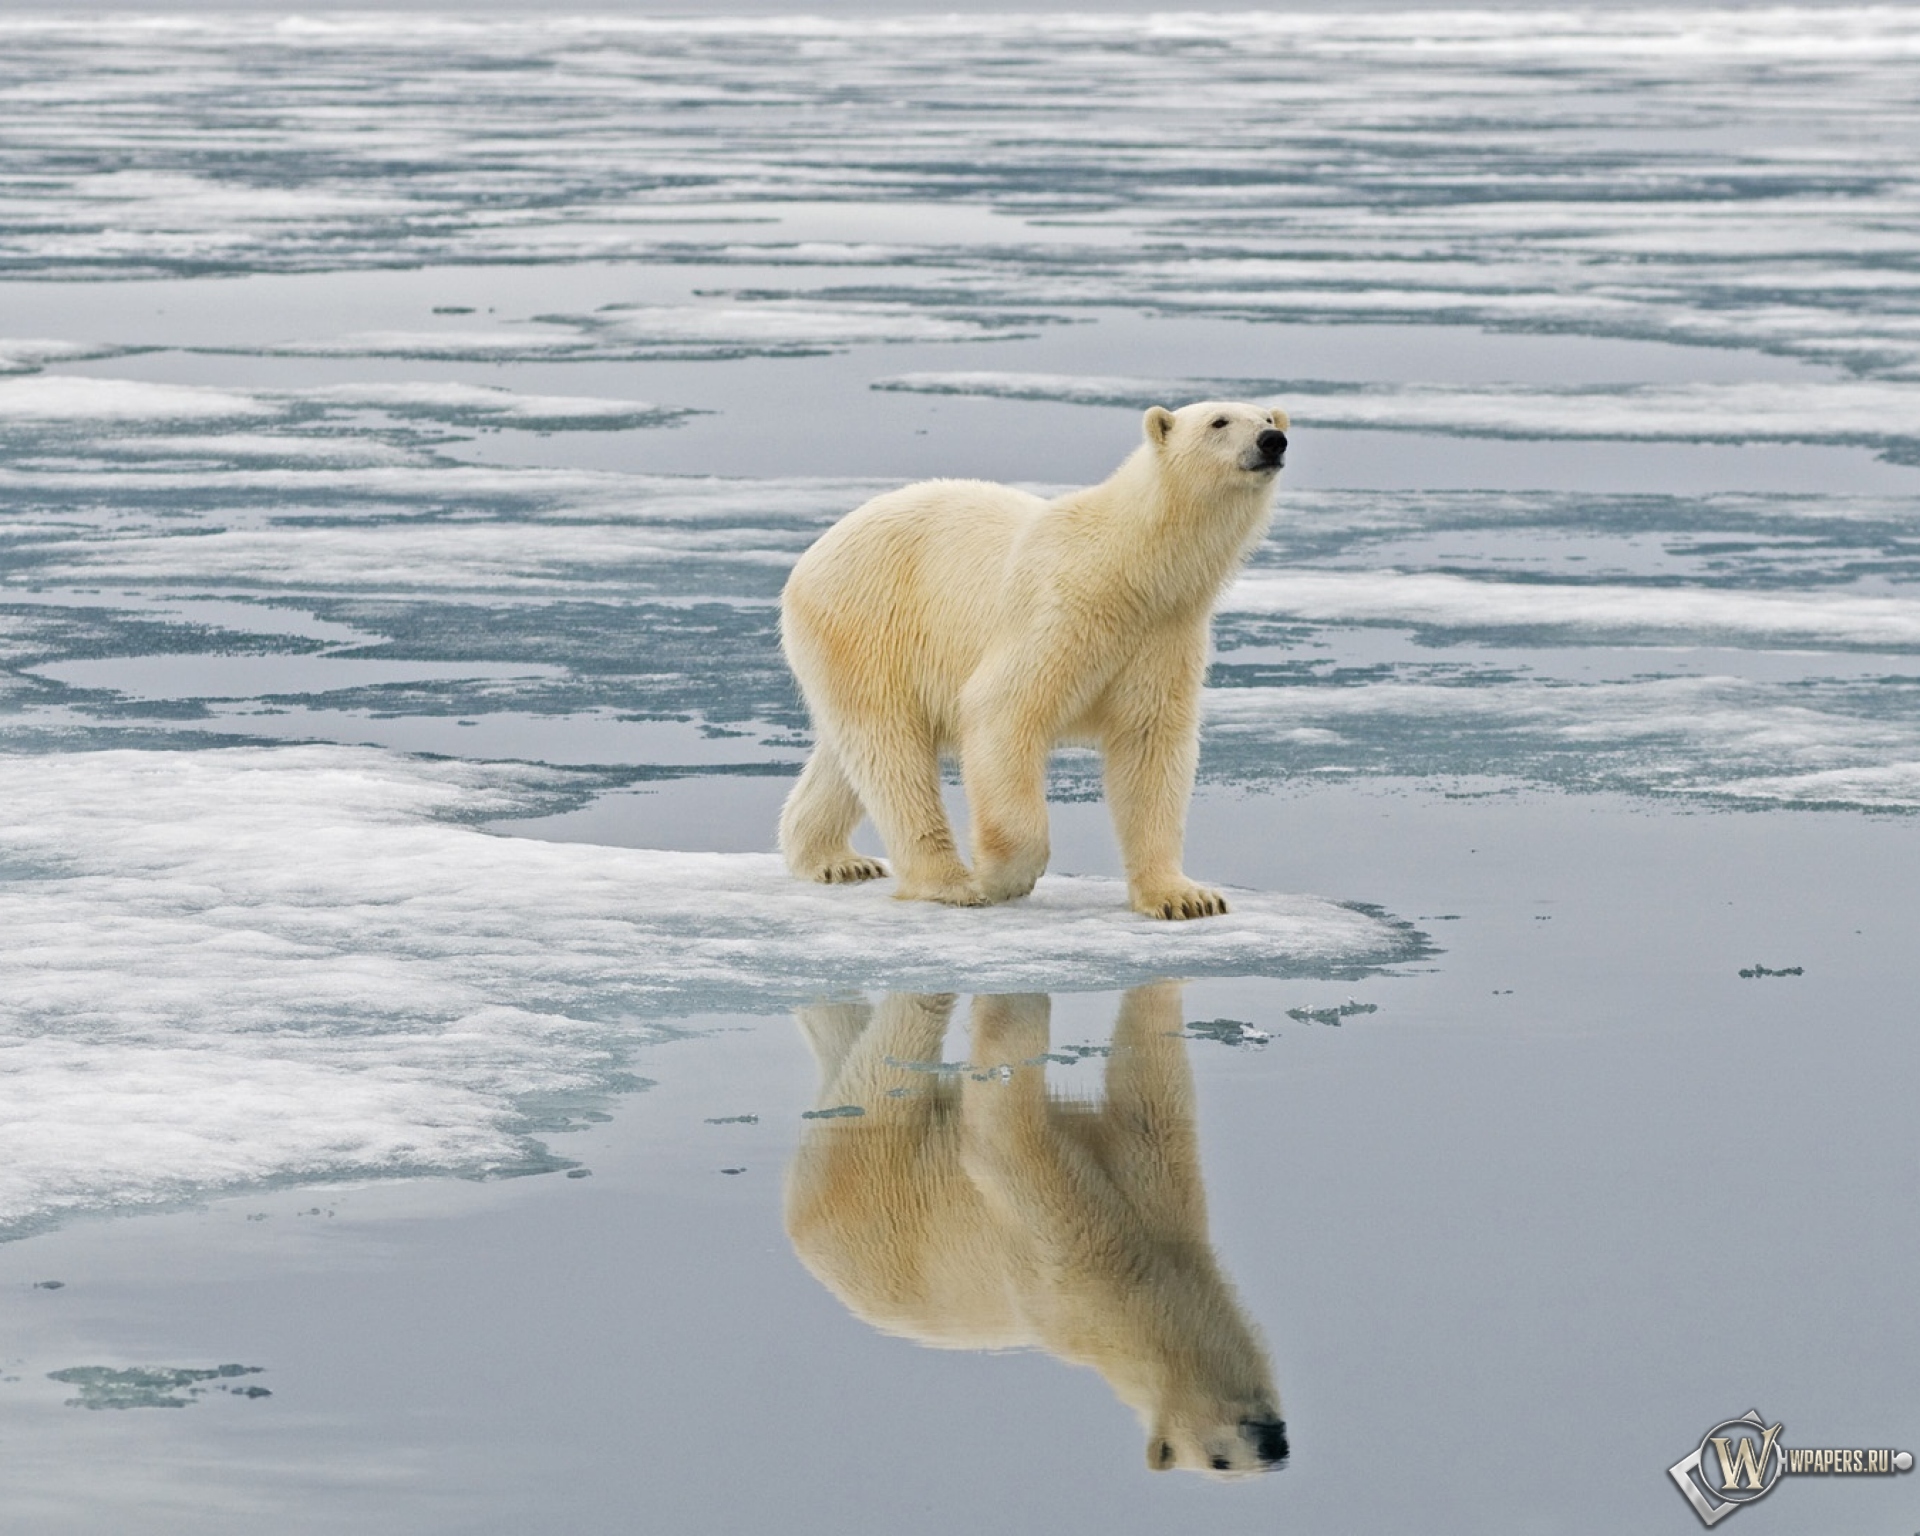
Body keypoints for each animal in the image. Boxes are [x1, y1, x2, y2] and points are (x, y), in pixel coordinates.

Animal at [779, 401, 1290, 917]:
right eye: (1219, 422)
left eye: (1268, 418)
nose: (1272, 442)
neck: (1131, 567)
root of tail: (811, 557)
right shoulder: (1060, 612)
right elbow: (1001, 711)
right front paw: (1002, 878)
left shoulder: (1165, 635)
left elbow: (1151, 746)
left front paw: (1184, 897)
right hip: (868, 621)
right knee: (890, 749)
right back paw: (948, 882)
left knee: (848, 755)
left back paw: (837, 860)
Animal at [779, 983, 1290, 1474]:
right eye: (1218, 1460)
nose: (1272, 1444)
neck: (1139, 1291)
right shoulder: (1068, 1261)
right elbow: (999, 1137)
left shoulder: (1153, 1190)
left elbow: (1145, 1083)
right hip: (868, 1175)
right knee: (898, 1053)